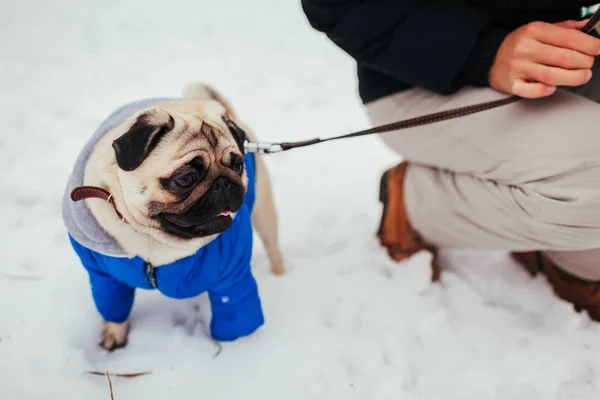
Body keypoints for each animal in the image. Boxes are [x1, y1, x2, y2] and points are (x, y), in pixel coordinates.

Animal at [62, 84, 284, 350]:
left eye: (238, 166)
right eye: (185, 179)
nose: (223, 184)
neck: (152, 238)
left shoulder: (231, 276)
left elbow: (235, 314)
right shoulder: (104, 276)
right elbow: (113, 307)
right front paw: (114, 336)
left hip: (265, 215)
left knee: (273, 249)